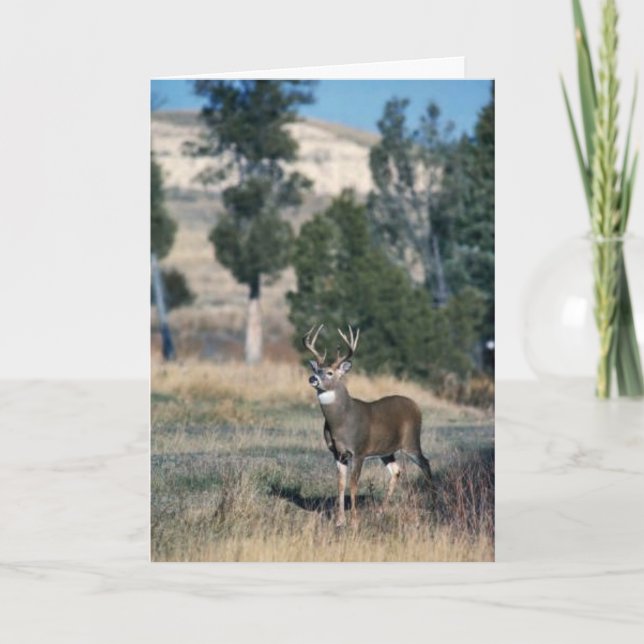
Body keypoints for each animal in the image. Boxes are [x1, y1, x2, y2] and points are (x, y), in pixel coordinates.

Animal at [304, 323, 435, 527]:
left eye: (330, 372)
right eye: (317, 370)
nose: (312, 379)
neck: (341, 422)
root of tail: (416, 406)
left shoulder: (359, 450)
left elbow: (353, 483)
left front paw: (354, 521)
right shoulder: (337, 452)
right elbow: (340, 483)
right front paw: (340, 520)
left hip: (411, 441)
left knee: (425, 463)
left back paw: (433, 503)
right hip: (387, 450)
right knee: (396, 471)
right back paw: (381, 511)